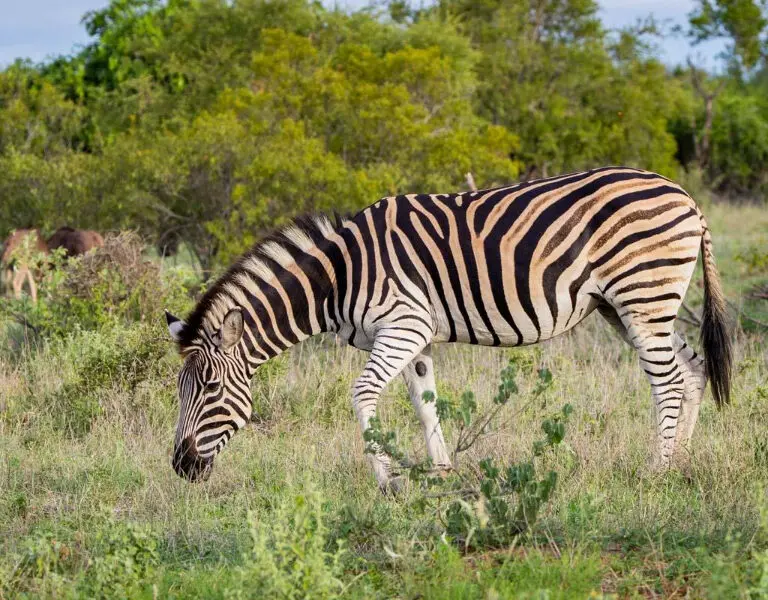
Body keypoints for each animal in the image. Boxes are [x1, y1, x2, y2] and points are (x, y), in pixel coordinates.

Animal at [165, 166, 731, 490]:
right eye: (180, 391)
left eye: (209, 389)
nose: (179, 466)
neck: (340, 273)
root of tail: (685, 196)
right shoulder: (415, 338)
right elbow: (425, 402)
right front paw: (441, 475)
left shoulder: (402, 325)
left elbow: (362, 394)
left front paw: (387, 483)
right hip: (629, 304)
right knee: (692, 368)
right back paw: (680, 461)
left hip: (643, 293)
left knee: (668, 380)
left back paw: (656, 471)